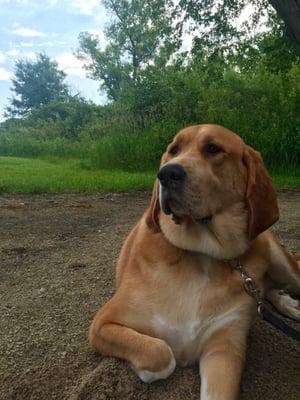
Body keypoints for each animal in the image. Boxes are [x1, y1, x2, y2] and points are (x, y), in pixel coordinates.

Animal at [89, 124, 300, 396]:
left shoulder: (225, 348)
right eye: (173, 150)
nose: (167, 174)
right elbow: (160, 352)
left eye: (213, 148)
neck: (202, 254)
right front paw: (147, 370)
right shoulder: (103, 323)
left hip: (283, 262)